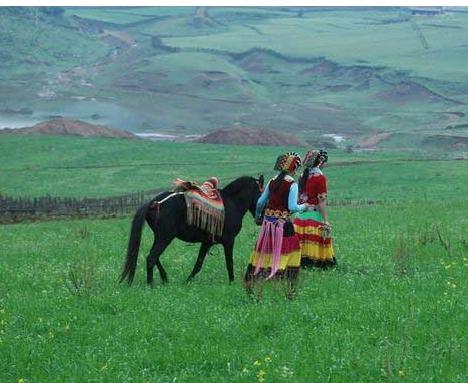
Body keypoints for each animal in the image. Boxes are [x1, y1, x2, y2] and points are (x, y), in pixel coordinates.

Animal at [119, 176, 264, 286]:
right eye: (262, 195)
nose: (261, 220)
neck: (232, 203)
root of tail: (154, 202)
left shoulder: (207, 243)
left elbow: (198, 264)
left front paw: (188, 281)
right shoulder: (229, 241)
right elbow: (229, 263)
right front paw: (232, 282)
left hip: (160, 236)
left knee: (153, 256)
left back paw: (164, 278)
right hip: (165, 237)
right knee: (152, 257)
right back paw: (151, 284)